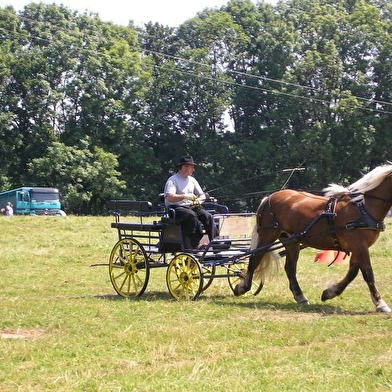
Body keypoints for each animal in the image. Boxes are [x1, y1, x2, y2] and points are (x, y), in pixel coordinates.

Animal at [233, 164, 392, 314]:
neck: (362, 208)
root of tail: (269, 198)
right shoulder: (359, 245)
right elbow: (367, 273)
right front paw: (380, 303)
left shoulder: (358, 247)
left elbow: (353, 272)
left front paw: (329, 293)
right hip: (267, 235)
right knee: (254, 259)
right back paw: (242, 287)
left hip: (291, 241)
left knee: (289, 268)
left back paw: (300, 296)